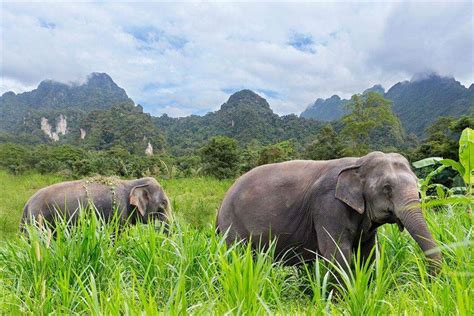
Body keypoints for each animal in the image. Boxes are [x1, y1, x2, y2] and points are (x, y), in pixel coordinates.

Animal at [217, 152, 442, 272]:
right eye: (387, 188)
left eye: (418, 186)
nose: (432, 279)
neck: (358, 163)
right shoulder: (327, 205)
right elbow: (336, 253)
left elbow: (368, 252)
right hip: (232, 226)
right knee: (237, 255)